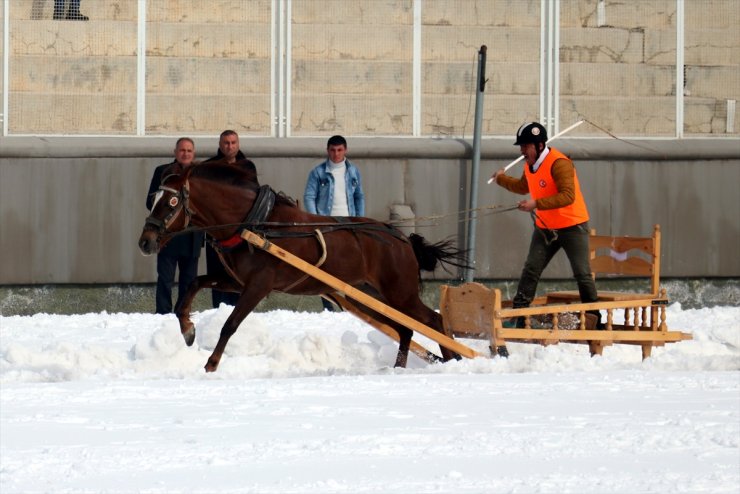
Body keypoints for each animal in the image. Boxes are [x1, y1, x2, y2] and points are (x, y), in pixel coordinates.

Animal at [137, 164, 466, 372]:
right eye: (153, 199)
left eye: (171, 202)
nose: (145, 241)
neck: (255, 223)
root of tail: (402, 238)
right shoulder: (237, 280)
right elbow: (194, 284)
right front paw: (188, 329)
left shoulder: (259, 285)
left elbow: (230, 324)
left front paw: (212, 363)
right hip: (371, 296)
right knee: (405, 329)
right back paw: (404, 367)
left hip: (400, 294)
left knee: (433, 321)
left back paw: (454, 360)